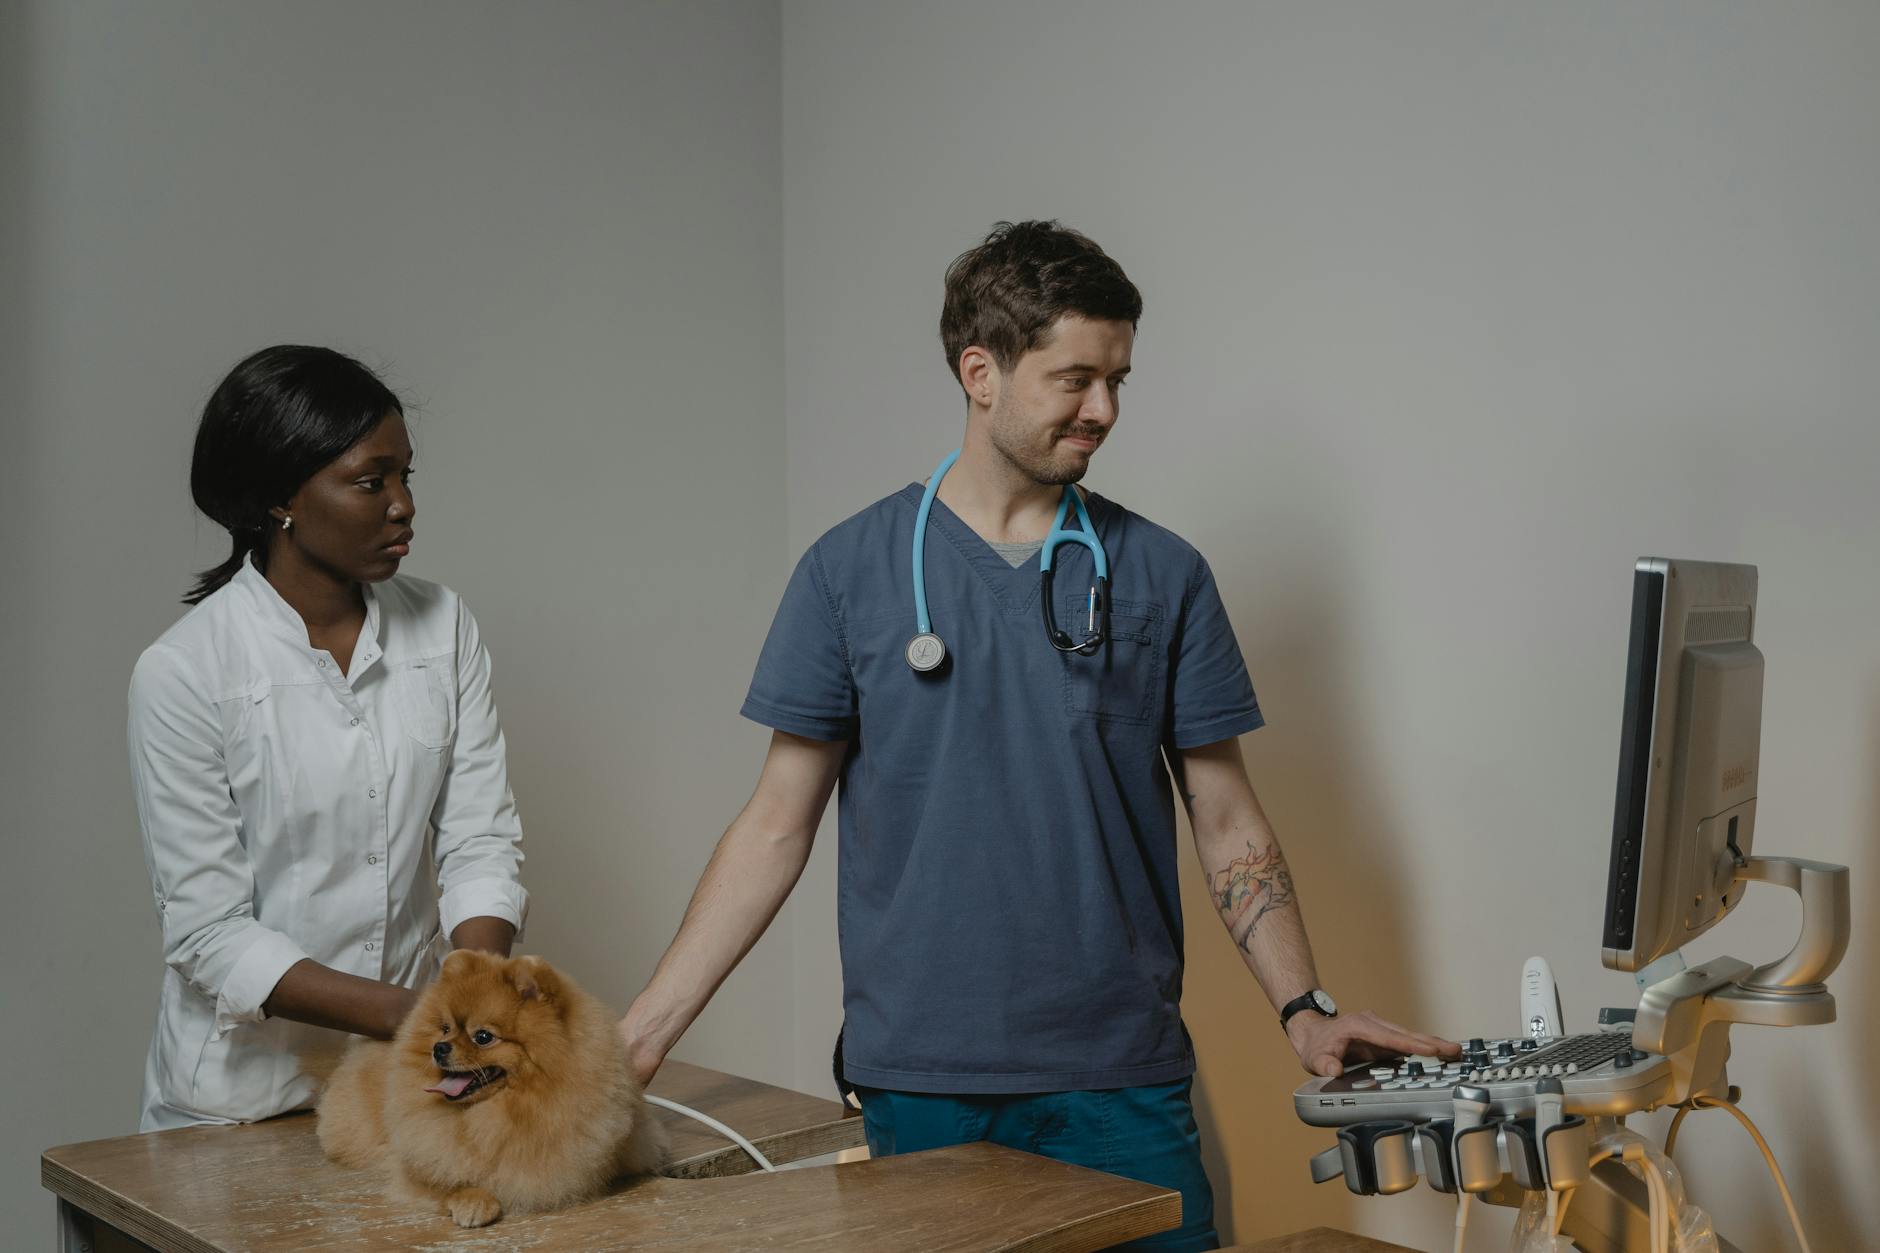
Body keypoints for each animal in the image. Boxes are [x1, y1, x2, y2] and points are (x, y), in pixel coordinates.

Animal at [321, 948, 669, 1219]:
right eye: (445, 1029)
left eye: (483, 1036)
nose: (439, 1048)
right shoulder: (416, 1159)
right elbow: (445, 1176)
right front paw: (473, 1201)